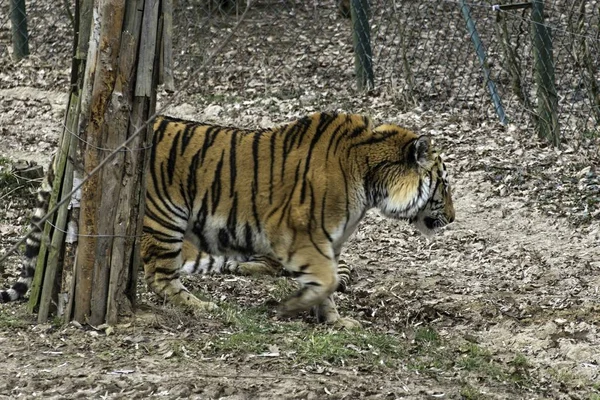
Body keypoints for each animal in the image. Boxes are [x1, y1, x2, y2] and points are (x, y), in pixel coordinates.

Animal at [142, 112, 454, 328]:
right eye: (445, 184)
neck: (371, 180)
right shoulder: (298, 233)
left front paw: (335, 321)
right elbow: (325, 280)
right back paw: (202, 307)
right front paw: (291, 307)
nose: (452, 218)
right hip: (165, 217)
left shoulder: (330, 242)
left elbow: (328, 282)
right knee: (160, 277)